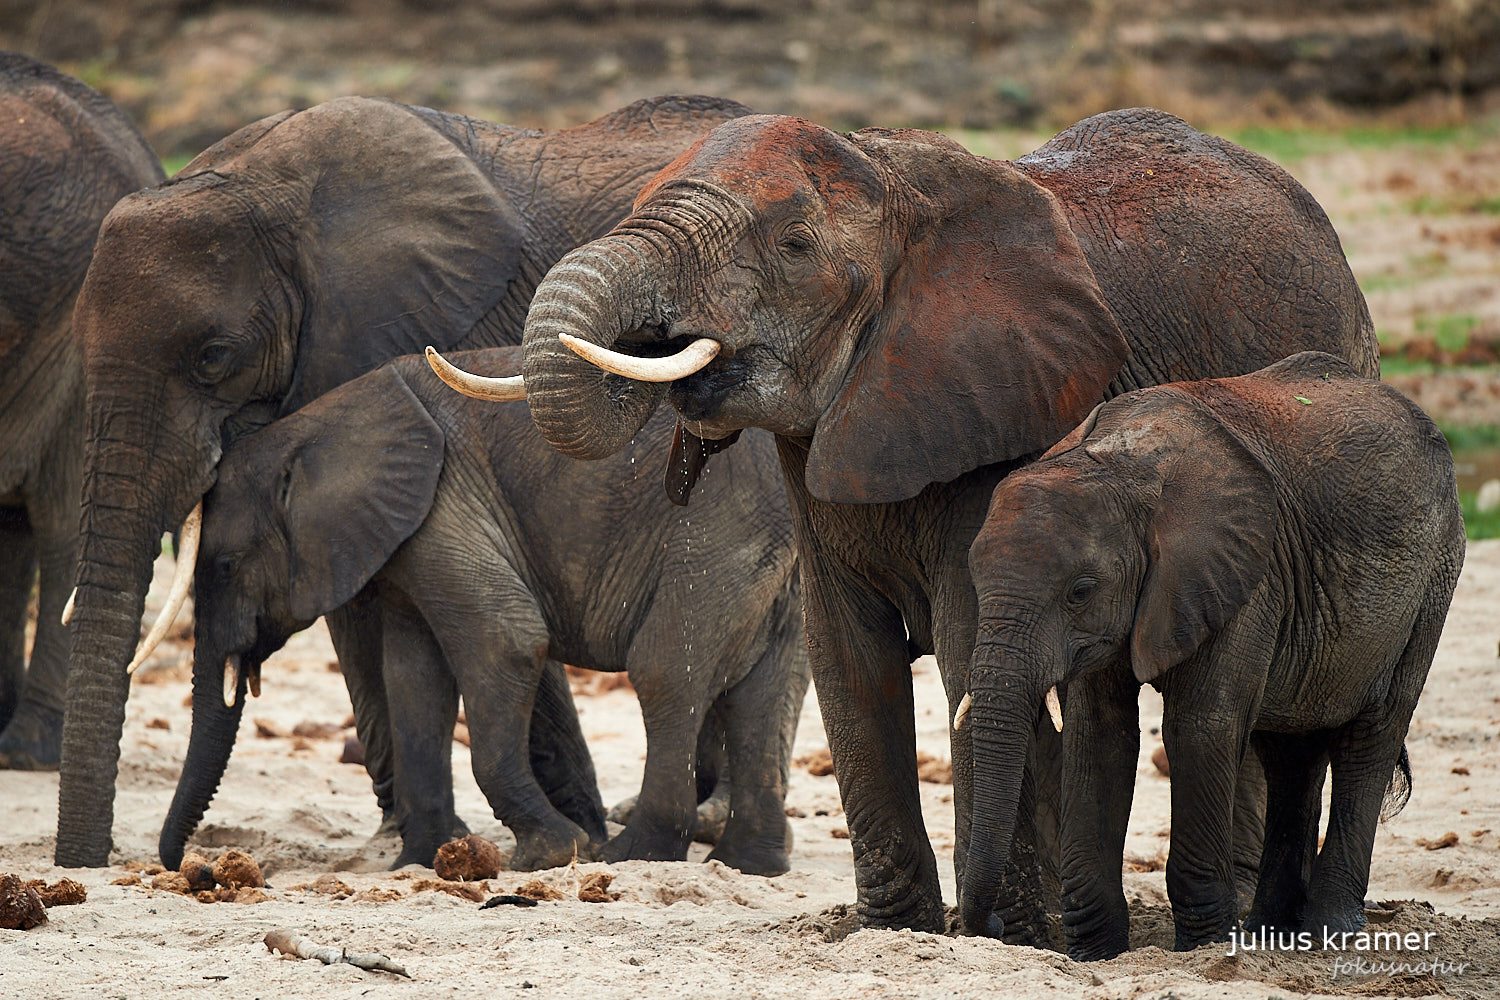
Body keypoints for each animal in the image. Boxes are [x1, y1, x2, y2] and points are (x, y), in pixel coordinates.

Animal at [55, 91, 750, 869]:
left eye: (214, 356)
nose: (111, 863)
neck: (266, 186)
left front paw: (579, 839)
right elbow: (362, 598)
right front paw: (404, 838)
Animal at [164, 347, 810, 881]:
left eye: (226, 566)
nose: (189, 866)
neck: (311, 428)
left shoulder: (446, 508)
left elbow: (508, 643)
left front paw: (551, 853)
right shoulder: (408, 545)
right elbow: (413, 678)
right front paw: (420, 859)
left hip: (718, 535)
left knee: (665, 670)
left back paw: (632, 856)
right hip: (771, 564)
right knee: (766, 687)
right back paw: (750, 864)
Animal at [435, 111, 1380, 947]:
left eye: (793, 247)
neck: (893, 182)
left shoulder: (1004, 416)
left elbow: (967, 649)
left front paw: (1007, 935)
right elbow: (847, 659)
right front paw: (896, 930)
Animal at [960, 355, 1464, 959]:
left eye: (1079, 591)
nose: (989, 926)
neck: (1117, 465)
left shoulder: (1246, 575)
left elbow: (1200, 729)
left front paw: (1203, 947)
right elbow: (1099, 734)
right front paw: (1096, 953)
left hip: (1433, 581)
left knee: (1372, 736)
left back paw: (1330, 935)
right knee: (1290, 754)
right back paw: (1273, 934)